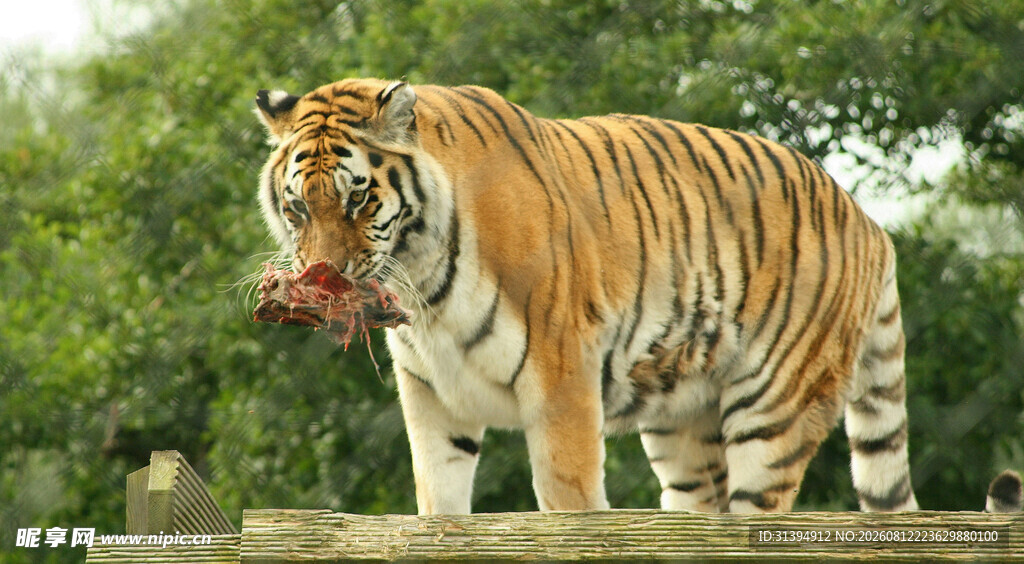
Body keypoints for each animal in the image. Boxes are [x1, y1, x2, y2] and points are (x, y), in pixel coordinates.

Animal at [253, 78, 1022, 514]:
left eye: (357, 200)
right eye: (297, 207)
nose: (323, 277)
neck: (427, 288)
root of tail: (869, 221)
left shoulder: (560, 374)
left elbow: (567, 500)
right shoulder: (433, 394)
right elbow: (438, 507)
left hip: (776, 407)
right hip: (685, 428)